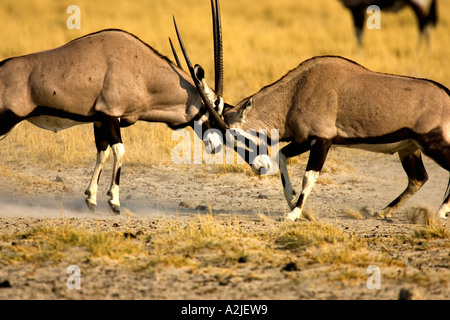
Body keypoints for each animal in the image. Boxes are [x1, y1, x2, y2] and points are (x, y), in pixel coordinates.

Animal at [0, 1, 229, 215]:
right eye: (215, 107)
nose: (217, 145)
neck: (144, 73)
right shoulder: (111, 115)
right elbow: (119, 151)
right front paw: (114, 202)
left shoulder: (100, 120)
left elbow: (103, 153)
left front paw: (91, 199)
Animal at [220, 55, 450, 221]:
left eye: (237, 136)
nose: (257, 168)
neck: (296, 92)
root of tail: (447, 94)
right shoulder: (305, 140)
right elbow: (282, 156)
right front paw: (291, 199)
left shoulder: (322, 141)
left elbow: (308, 177)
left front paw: (294, 213)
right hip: (409, 149)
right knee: (418, 178)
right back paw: (384, 212)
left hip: (432, 144)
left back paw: (440, 212)